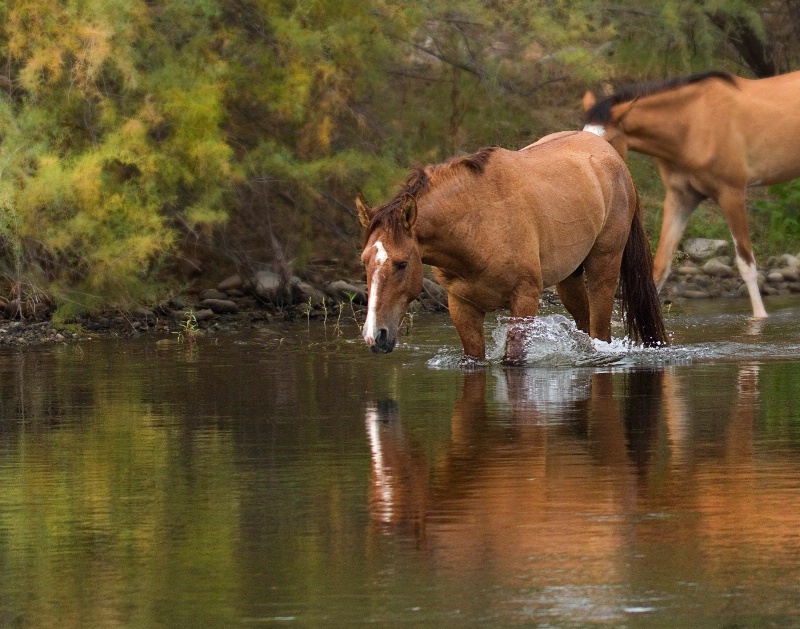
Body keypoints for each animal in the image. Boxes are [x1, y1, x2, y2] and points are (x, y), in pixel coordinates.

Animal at [356, 131, 668, 364]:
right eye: (364, 261)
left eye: (402, 263)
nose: (375, 336)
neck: (476, 225)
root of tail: (612, 156)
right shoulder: (461, 307)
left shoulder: (525, 299)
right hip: (569, 279)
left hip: (604, 267)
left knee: (600, 332)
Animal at [580, 68, 800, 318]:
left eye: (608, 140)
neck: (691, 125)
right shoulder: (681, 198)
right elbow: (660, 267)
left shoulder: (731, 194)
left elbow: (746, 263)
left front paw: (760, 317)